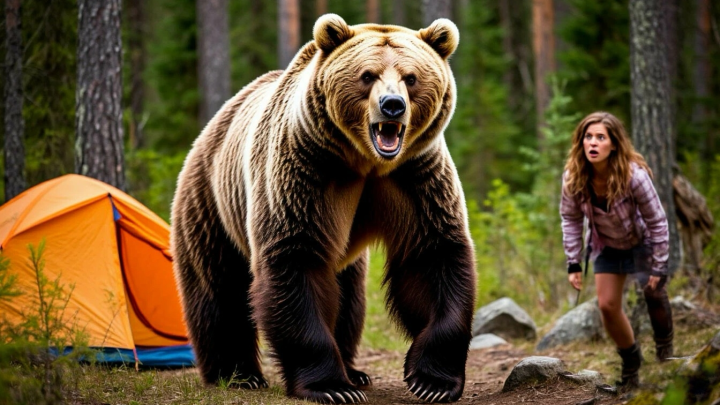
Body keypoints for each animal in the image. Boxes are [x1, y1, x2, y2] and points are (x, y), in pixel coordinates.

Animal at [171, 14, 476, 404]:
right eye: (367, 75)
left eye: (411, 77)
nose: (393, 105)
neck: (365, 162)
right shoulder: (306, 171)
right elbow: (295, 260)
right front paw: (330, 386)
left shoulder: (415, 177)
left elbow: (432, 257)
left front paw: (432, 381)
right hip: (211, 199)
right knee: (218, 286)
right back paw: (236, 374)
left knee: (349, 297)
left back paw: (355, 370)